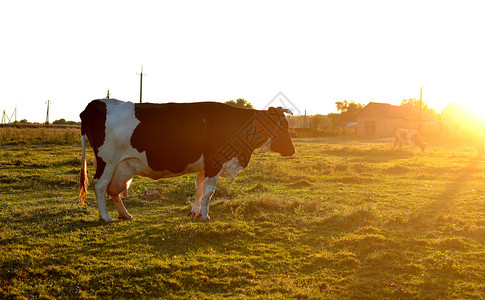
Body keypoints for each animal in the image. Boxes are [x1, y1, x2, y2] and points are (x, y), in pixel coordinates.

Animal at [78, 99, 294, 221]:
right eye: (282, 126)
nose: (292, 150)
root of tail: (94, 104)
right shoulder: (215, 162)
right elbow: (209, 191)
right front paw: (205, 216)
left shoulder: (203, 166)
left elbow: (199, 190)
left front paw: (195, 213)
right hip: (107, 161)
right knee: (100, 185)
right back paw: (105, 217)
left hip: (120, 166)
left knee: (114, 190)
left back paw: (125, 214)